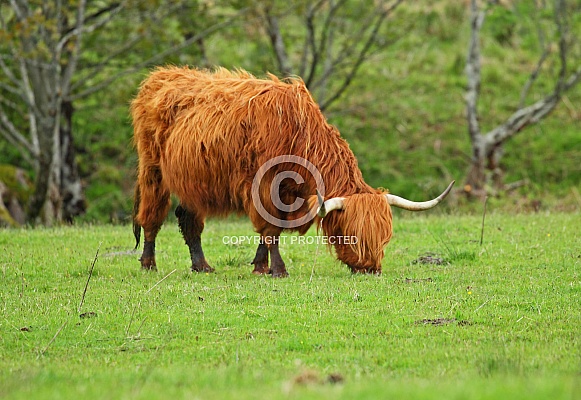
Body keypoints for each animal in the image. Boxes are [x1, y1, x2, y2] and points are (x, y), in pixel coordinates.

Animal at [131, 66, 454, 278]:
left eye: (385, 236)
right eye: (351, 234)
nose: (371, 269)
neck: (300, 135)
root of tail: (162, 76)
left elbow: (269, 232)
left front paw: (260, 267)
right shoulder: (263, 186)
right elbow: (270, 229)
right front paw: (277, 270)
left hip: (193, 181)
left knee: (188, 219)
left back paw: (202, 266)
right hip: (153, 170)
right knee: (152, 216)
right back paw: (148, 263)